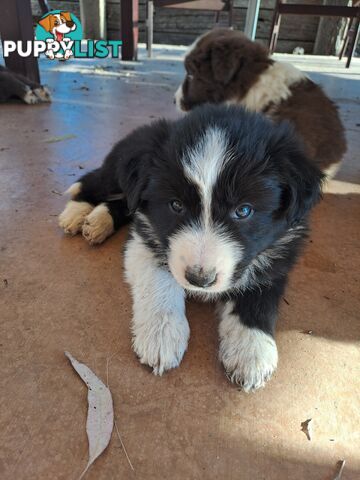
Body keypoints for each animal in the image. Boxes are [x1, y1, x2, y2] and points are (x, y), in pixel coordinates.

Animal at [59, 105, 324, 390]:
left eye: (243, 210)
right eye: (176, 205)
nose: (200, 279)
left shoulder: (280, 251)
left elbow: (259, 295)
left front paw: (251, 350)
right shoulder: (145, 237)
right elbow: (161, 281)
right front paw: (161, 334)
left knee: (122, 203)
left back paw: (97, 221)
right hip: (116, 173)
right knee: (96, 182)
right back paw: (77, 213)